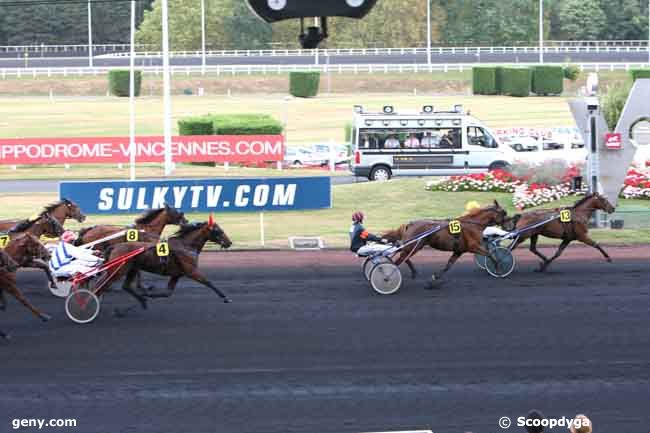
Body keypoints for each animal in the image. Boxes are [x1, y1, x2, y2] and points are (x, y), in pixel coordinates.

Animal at [97, 218, 232, 316]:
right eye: (219, 231)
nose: (229, 243)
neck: (185, 246)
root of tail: (115, 246)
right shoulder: (191, 271)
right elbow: (208, 282)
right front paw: (225, 298)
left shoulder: (177, 274)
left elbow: (167, 293)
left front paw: (148, 295)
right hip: (119, 270)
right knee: (102, 285)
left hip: (131, 269)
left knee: (125, 286)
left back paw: (141, 301)